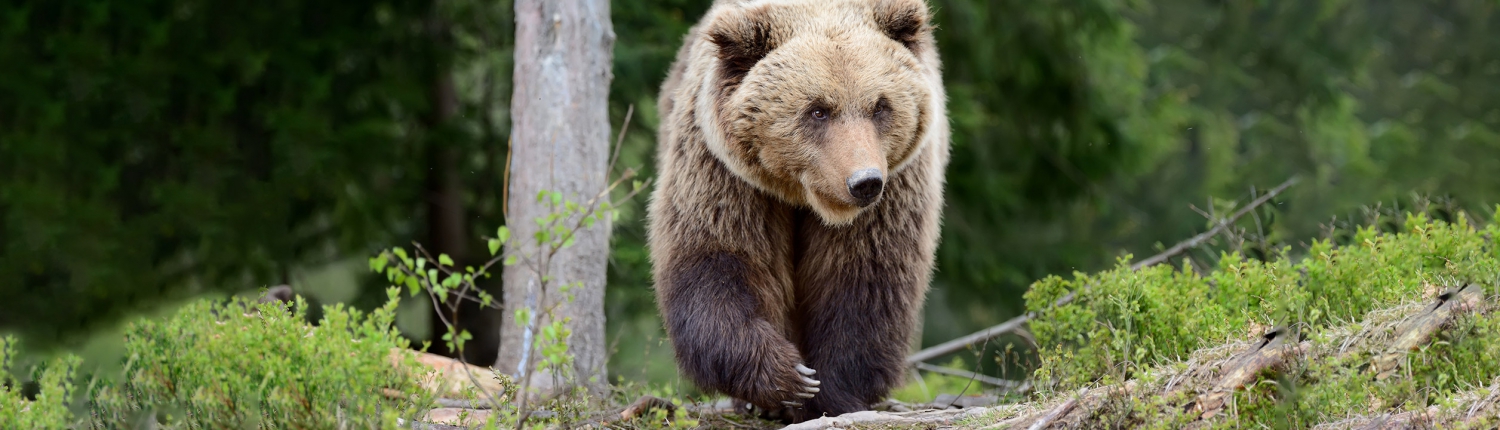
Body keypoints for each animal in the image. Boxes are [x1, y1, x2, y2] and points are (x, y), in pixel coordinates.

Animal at [645, 0, 948, 425]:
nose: (864, 181)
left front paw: (830, 391)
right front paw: (787, 377)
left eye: (880, 106)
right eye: (818, 110)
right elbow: (717, 260)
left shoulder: (895, 189)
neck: (806, 197)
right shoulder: (727, 175)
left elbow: (864, 279)